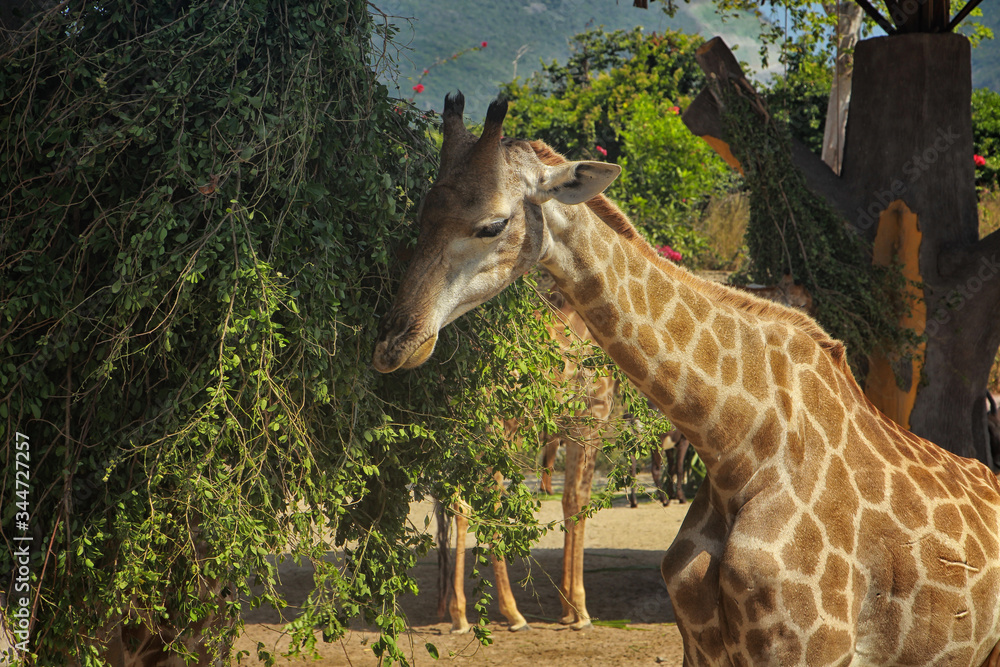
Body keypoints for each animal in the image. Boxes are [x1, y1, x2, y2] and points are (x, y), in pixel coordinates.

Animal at [441, 277, 621, 632]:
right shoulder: (590, 422)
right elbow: (581, 501)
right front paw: (581, 611)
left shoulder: (568, 430)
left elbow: (567, 501)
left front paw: (566, 608)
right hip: (494, 430)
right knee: (487, 502)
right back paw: (513, 614)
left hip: (465, 433)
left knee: (460, 503)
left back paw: (460, 615)